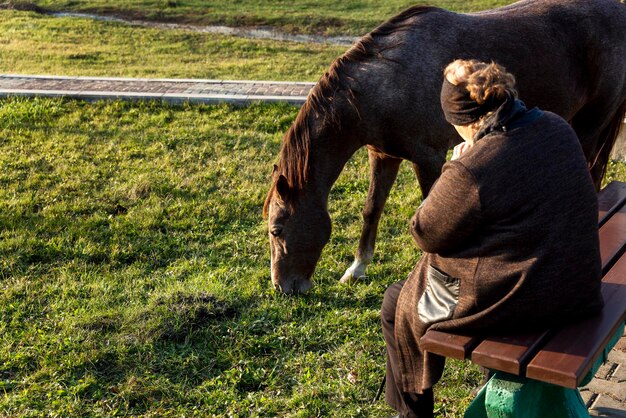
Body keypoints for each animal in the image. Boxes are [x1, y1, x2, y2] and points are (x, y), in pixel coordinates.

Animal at [262, 0, 624, 294]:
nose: (283, 287)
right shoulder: (383, 155)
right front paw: (357, 268)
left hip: (590, 125)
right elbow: (371, 210)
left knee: (590, 170)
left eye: (277, 230)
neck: (386, 83)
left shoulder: (427, 159)